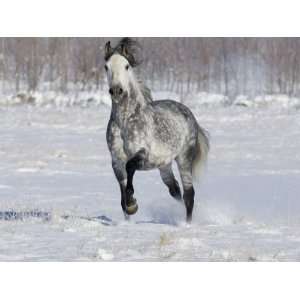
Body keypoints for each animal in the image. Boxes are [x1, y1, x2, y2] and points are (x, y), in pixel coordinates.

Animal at [103, 38, 209, 223]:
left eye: (126, 66)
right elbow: (122, 190)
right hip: (164, 166)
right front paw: (128, 211)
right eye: (106, 66)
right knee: (175, 190)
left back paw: (187, 224)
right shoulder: (116, 161)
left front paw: (132, 203)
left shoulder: (142, 155)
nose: (116, 91)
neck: (125, 122)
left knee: (189, 194)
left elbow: (130, 167)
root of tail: (189, 114)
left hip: (183, 159)